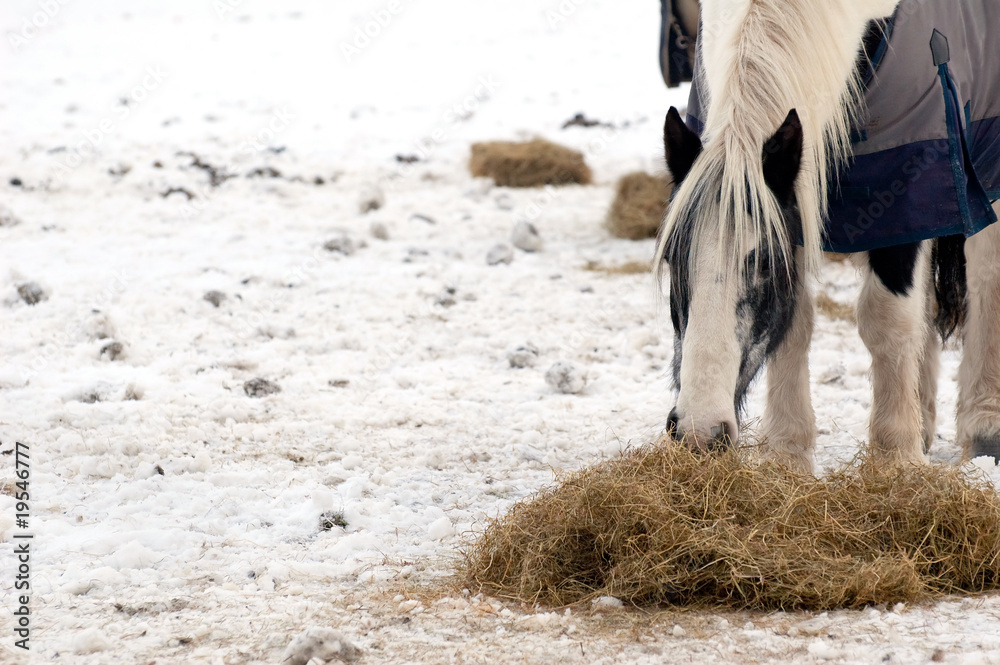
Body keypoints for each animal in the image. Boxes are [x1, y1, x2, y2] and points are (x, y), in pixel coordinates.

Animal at [657, 0, 1000, 474]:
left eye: (765, 263)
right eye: (672, 258)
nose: (698, 431)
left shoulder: (904, 190)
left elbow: (886, 319)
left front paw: (895, 459)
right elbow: (795, 324)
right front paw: (787, 456)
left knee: (987, 277)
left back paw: (985, 425)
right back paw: (926, 421)